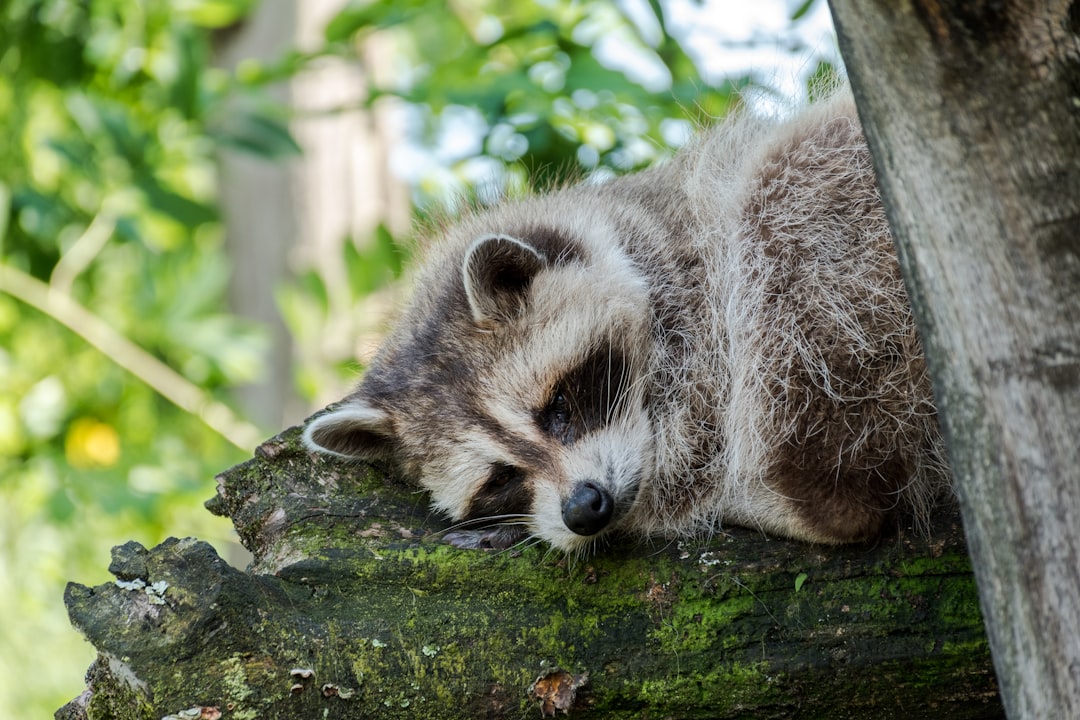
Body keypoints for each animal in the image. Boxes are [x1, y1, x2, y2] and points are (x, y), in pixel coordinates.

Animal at [300, 88, 950, 552]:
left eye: (559, 405)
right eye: (499, 480)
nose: (585, 509)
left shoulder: (705, 320)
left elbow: (696, 455)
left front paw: (673, 502)